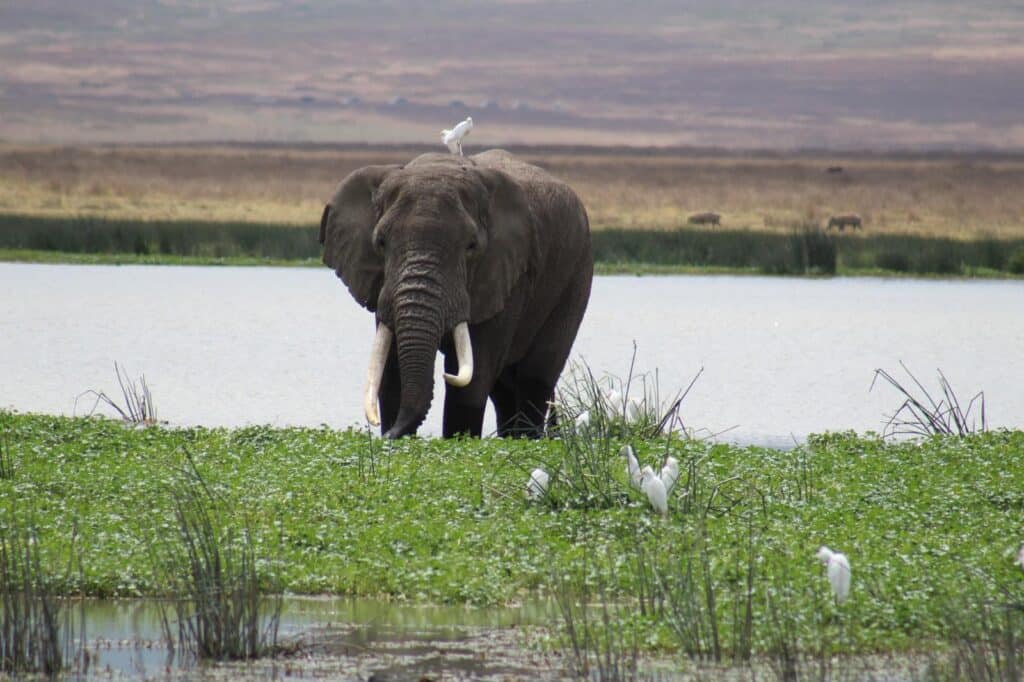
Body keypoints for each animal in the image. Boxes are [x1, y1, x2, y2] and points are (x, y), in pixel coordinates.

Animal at [319, 148, 593, 438]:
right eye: (380, 243)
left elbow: (474, 379)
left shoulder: (506, 273)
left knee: (535, 377)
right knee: (504, 389)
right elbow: (391, 376)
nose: (389, 434)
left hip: (577, 274)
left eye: (471, 246)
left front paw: (459, 437)